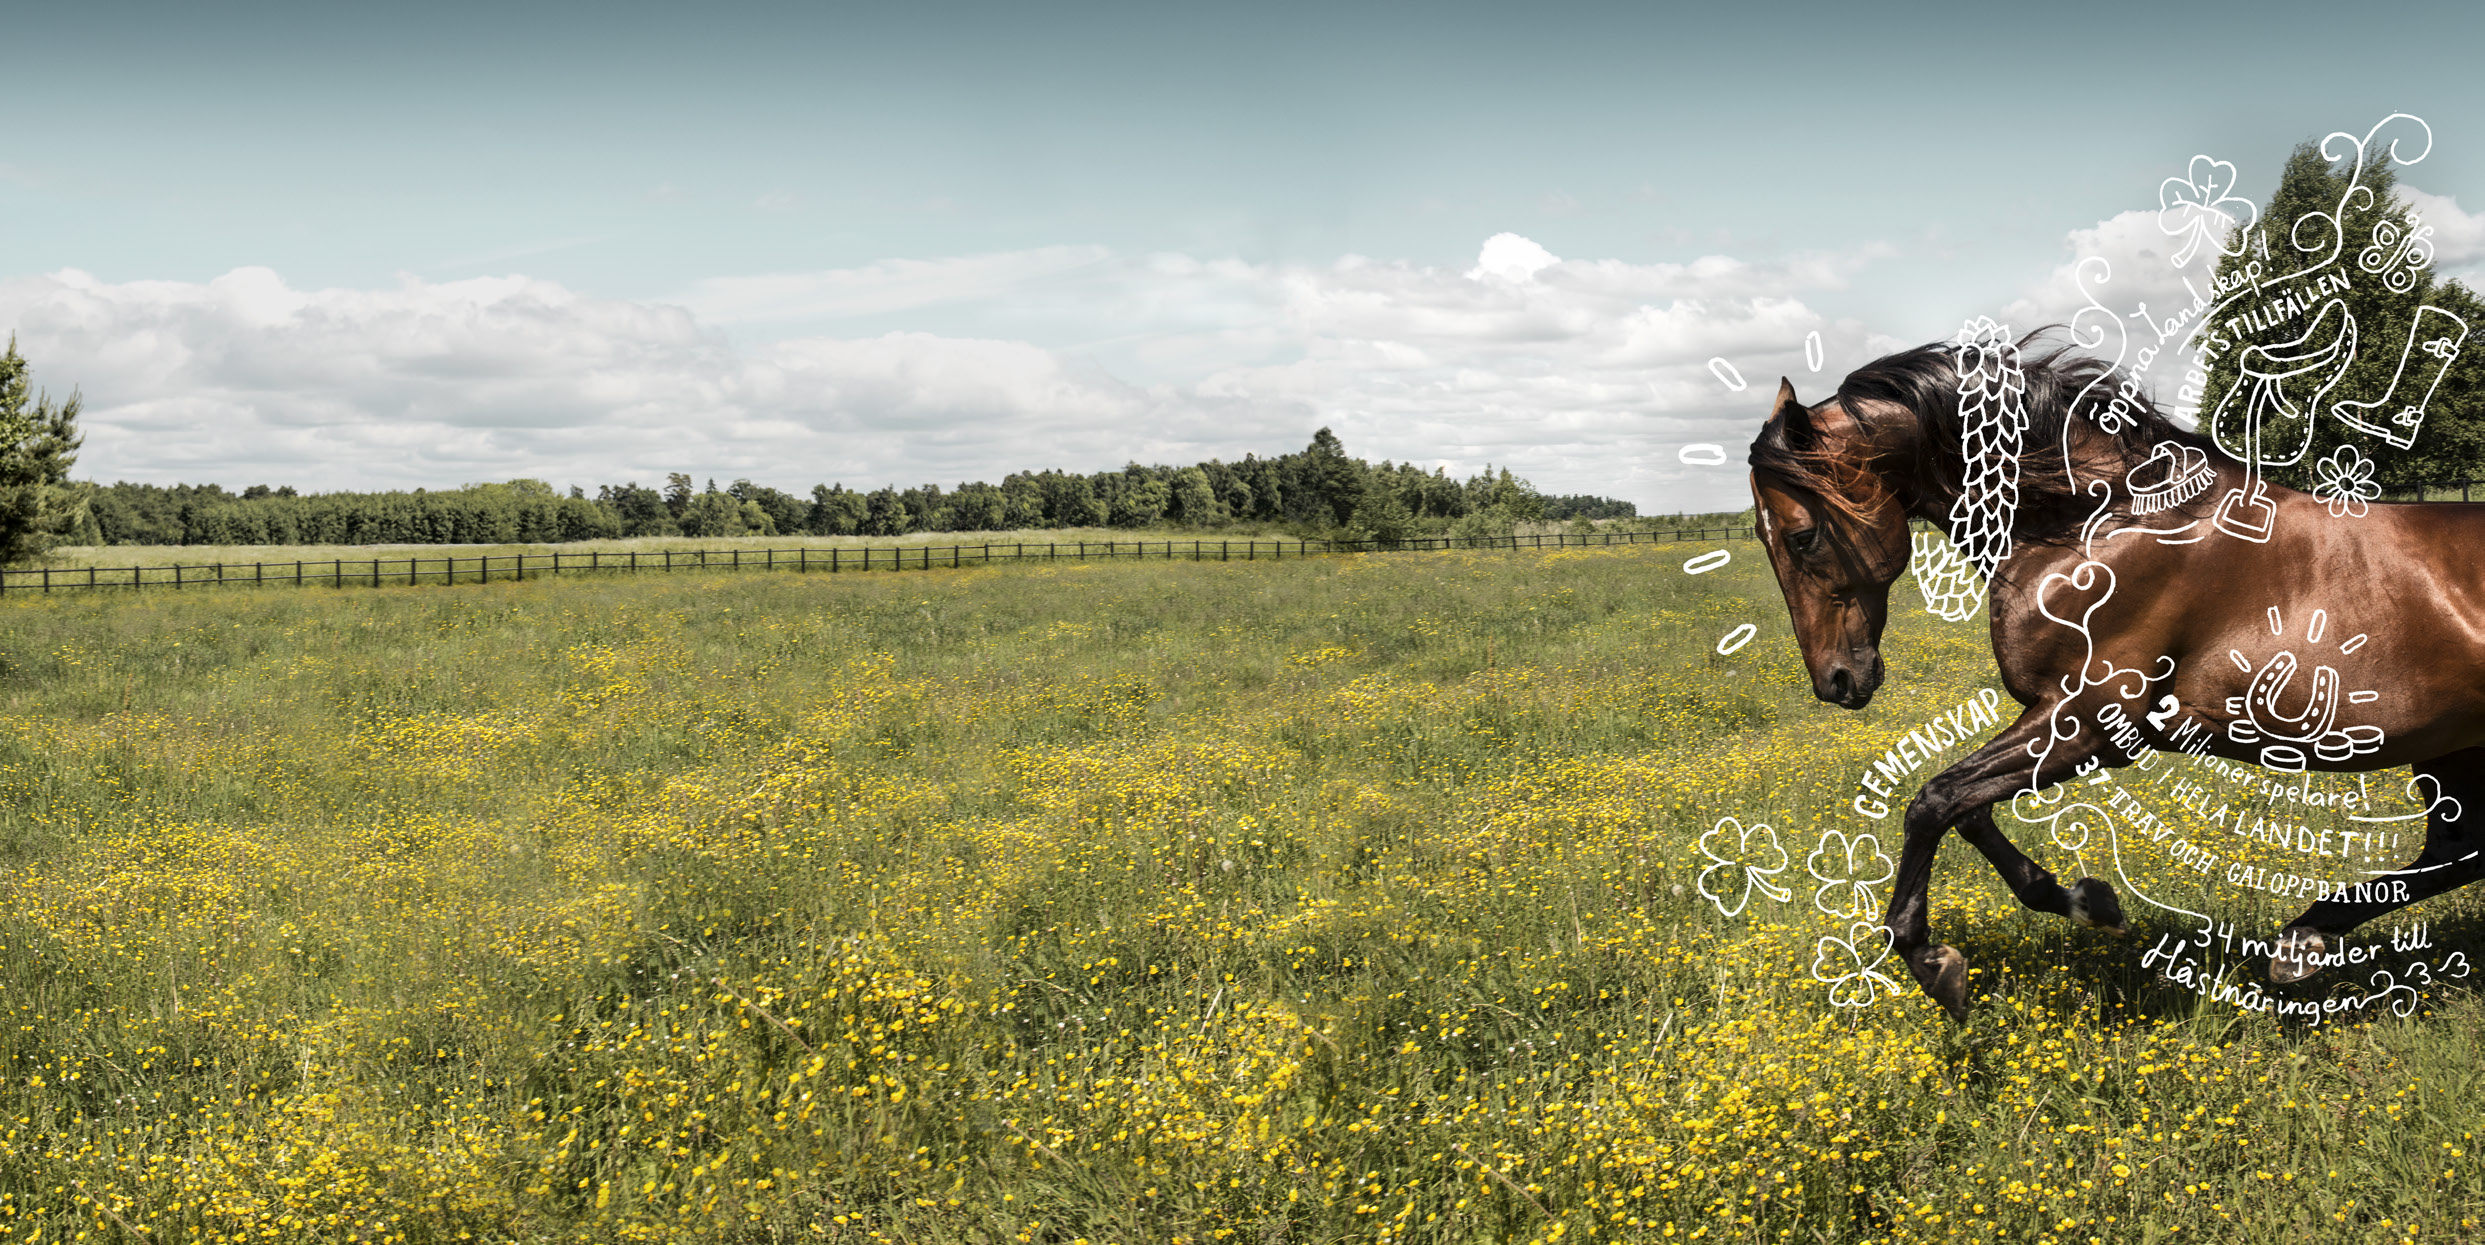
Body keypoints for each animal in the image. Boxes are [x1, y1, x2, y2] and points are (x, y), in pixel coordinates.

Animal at [1749, 332, 2485, 1018]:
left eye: (1800, 536)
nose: (1836, 682)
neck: (2094, 526)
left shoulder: (2090, 723)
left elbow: (1933, 800)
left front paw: (1932, 961)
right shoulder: (2060, 721)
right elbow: (1965, 808)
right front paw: (2084, 900)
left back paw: (2300, 943)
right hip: (2448, 748)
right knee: (2458, 849)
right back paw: (2303, 940)